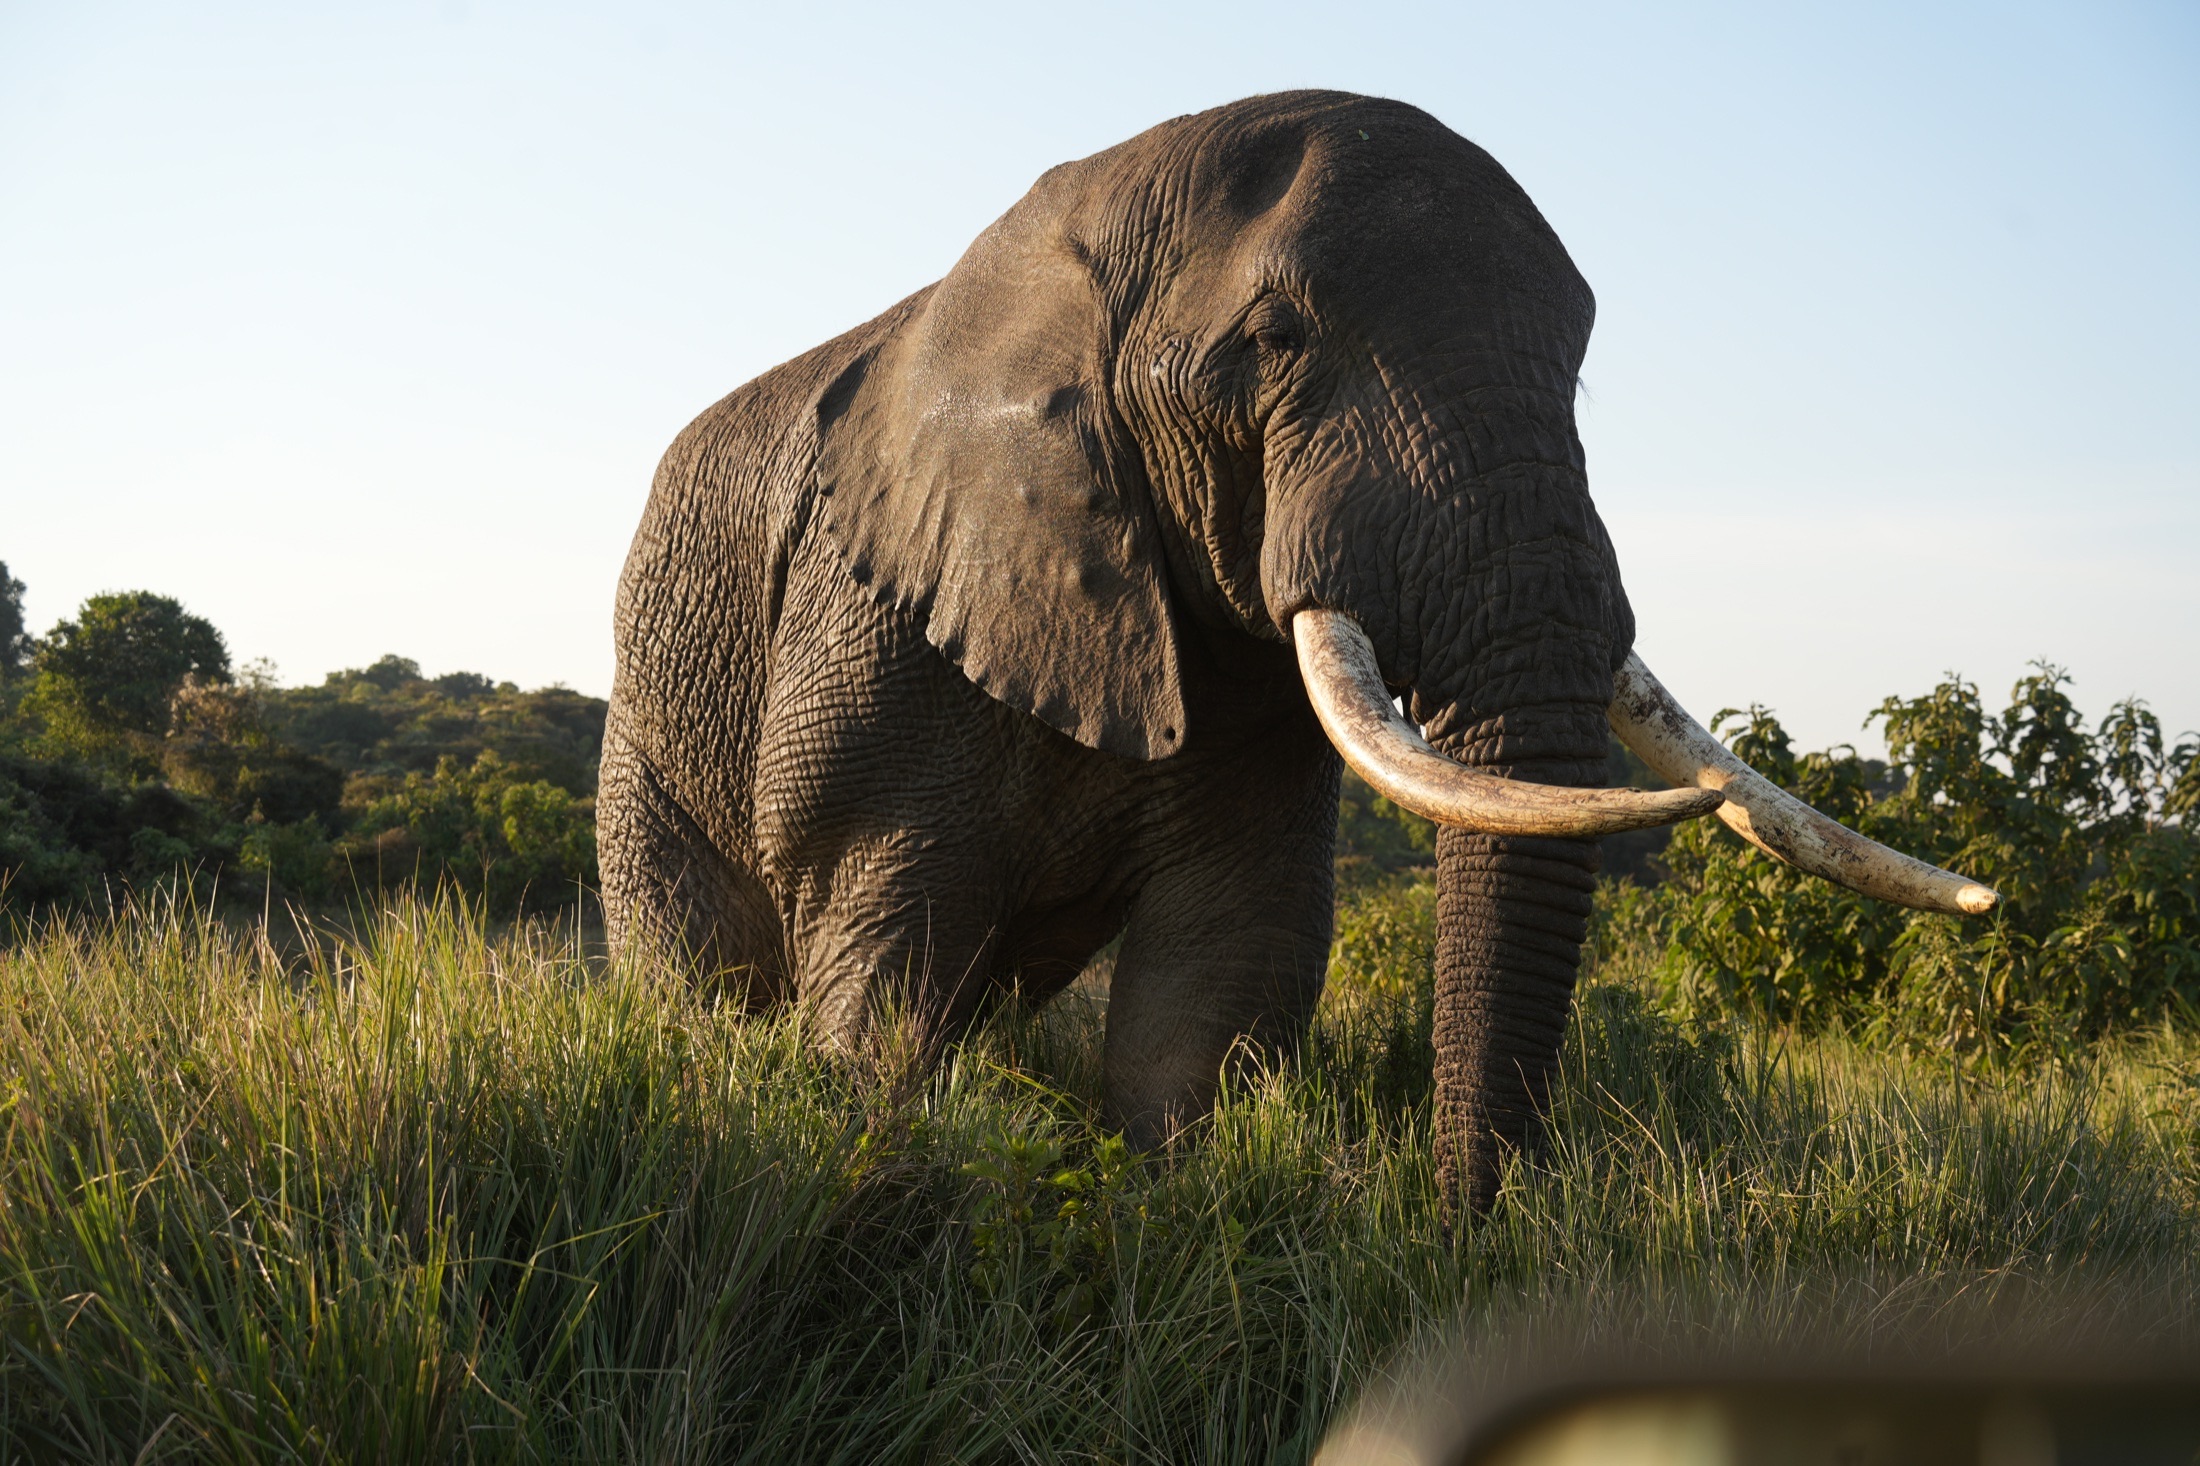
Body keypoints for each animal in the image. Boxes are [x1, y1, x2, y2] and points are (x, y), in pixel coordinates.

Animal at [600, 90, 1995, 1210]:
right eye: (1273, 342)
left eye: (1583, 361)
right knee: (703, 974)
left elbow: (1219, 965)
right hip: (643, 736)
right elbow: (886, 964)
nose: (1462, 1223)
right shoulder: (878, 613)